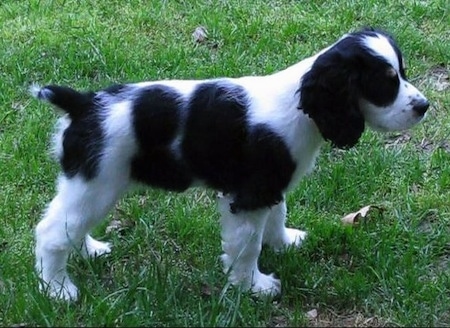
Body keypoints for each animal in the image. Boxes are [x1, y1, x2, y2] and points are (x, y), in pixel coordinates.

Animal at [30, 27, 428, 300]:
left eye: (403, 72)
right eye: (385, 83)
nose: (424, 106)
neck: (300, 104)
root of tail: (82, 103)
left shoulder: (271, 185)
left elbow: (278, 215)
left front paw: (284, 242)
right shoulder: (249, 195)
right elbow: (246, 246)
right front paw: (255, 286)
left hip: (91, 186)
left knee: (70, 225)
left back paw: (90, 250)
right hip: (96, 182)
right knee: (52, 232)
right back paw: (59, 290)